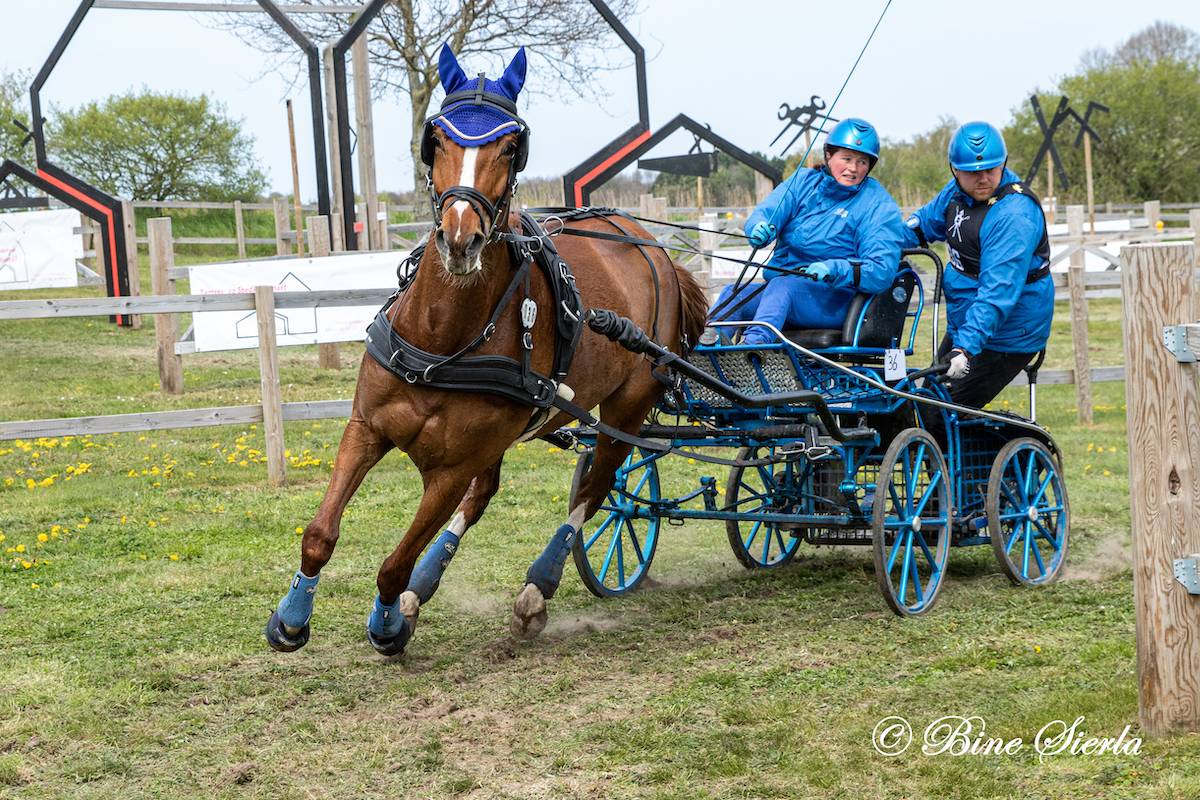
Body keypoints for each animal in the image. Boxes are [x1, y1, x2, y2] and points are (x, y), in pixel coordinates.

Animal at [264, 44, 707, 656]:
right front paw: (291, 617)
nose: (460, 239)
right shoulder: (366, 428)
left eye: (510, 146)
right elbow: (319, 533)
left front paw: (387, 624)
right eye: (439, 140)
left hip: (628, 407)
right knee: (486, 496)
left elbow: (394, 562)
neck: (439, 342)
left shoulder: (451, 468)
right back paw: (424, 590)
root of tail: (656, 249)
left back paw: (536, 591)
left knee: (594, 490)